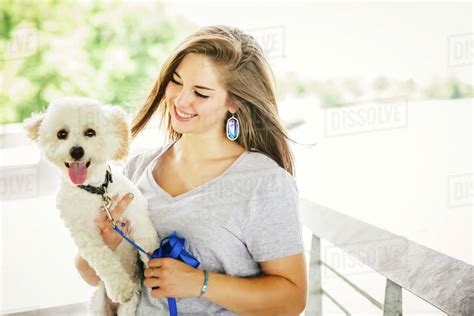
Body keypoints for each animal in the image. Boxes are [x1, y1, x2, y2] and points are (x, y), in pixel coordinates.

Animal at [23, 97, 161, 316]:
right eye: (61, 134)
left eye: (90, 132)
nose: (76, 151)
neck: (95, 191)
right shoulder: (85, 234)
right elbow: (104, 260)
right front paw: (121, 287)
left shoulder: (137, 214)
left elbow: (149, 245)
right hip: (98, 305)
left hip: (129, 308)